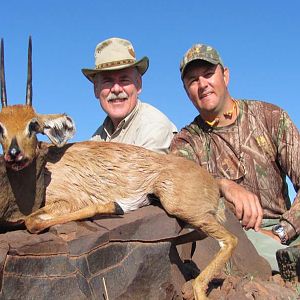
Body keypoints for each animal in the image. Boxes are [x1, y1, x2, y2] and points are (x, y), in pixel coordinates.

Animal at [0, 38, 237, 300]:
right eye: (0, 127)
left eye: (33, 125)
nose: (14, 154)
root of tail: (213, 183)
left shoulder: (68, 201)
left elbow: (32, 222)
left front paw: (113, 206)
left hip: (182, 207)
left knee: (230, 240)